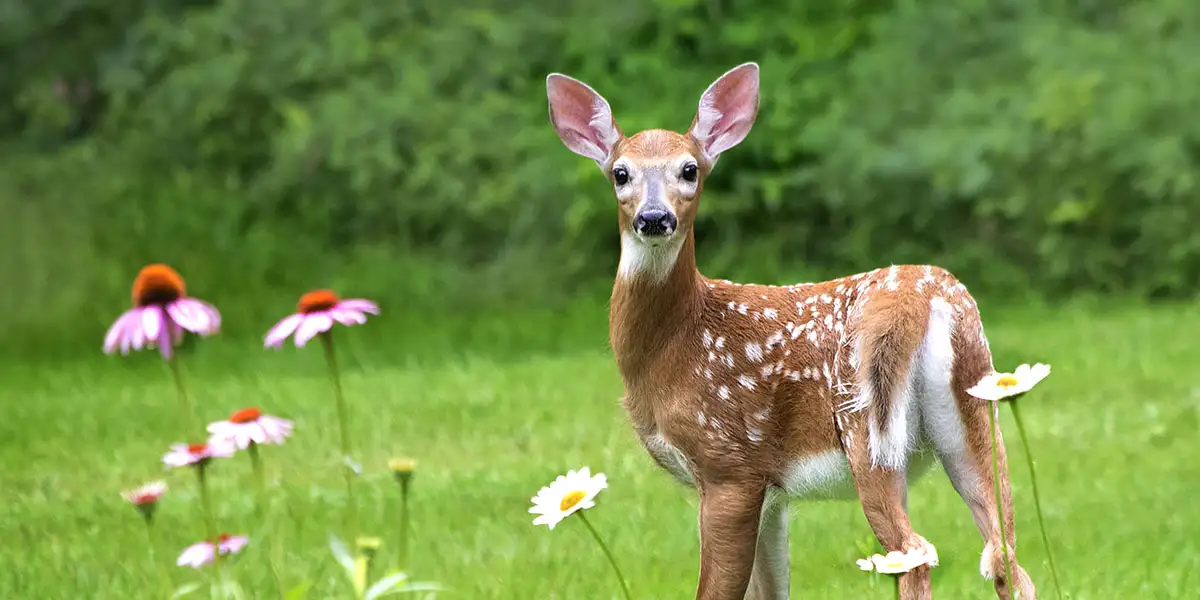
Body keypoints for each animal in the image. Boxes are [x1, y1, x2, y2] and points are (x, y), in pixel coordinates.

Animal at [543, 62, 1038, 600]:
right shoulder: (773, 493)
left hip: (866, 427)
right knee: (1005, 554)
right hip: (975, 409)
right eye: (620, 173)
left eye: (690, 170)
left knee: (917, 554)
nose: (654, 217)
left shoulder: (730, 465)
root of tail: (919, 298)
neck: (674, 344)